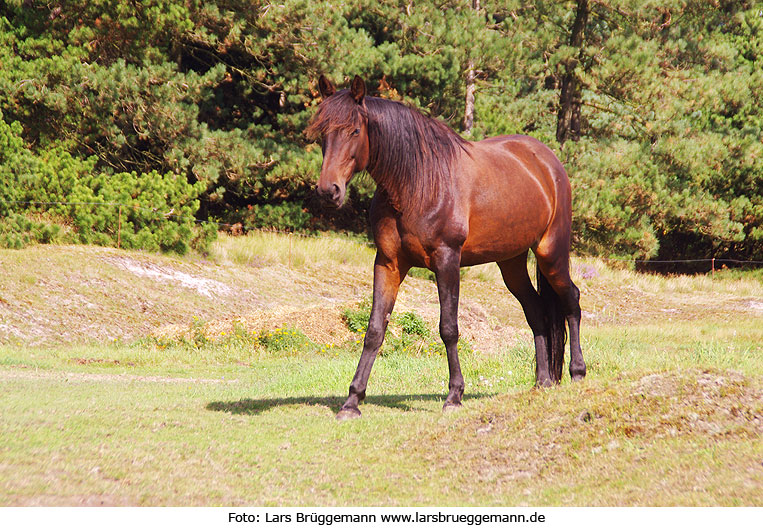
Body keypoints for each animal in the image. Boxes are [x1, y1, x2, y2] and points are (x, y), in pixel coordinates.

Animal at [304, 75, 584, 420]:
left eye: (355, 130)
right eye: (322, 133)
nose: (328, 191)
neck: (416, 184)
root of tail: (548, 162)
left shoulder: (447, 261)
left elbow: (448, 328)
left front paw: (454, 395)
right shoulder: (388, 263)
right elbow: (374, 330)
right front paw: (352, 401)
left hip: (551, 253)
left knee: (571, 300)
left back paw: (577, 373)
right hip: (512, 263)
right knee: (536, 311)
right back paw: (542, 381)